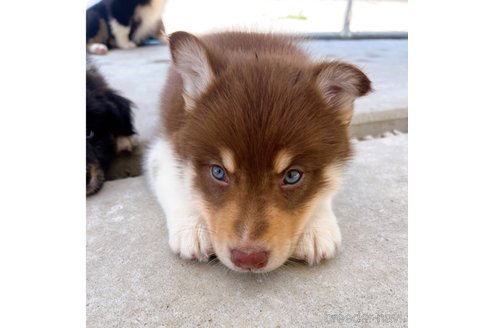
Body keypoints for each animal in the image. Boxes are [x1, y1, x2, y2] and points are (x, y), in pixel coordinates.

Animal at [144, 30, 370, 272]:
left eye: (292, 176)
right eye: (218, 172)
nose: (248, 259)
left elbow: (325, 190)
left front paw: (316, 229)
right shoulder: (164, 148)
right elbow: (176, 184)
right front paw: (192, 228)